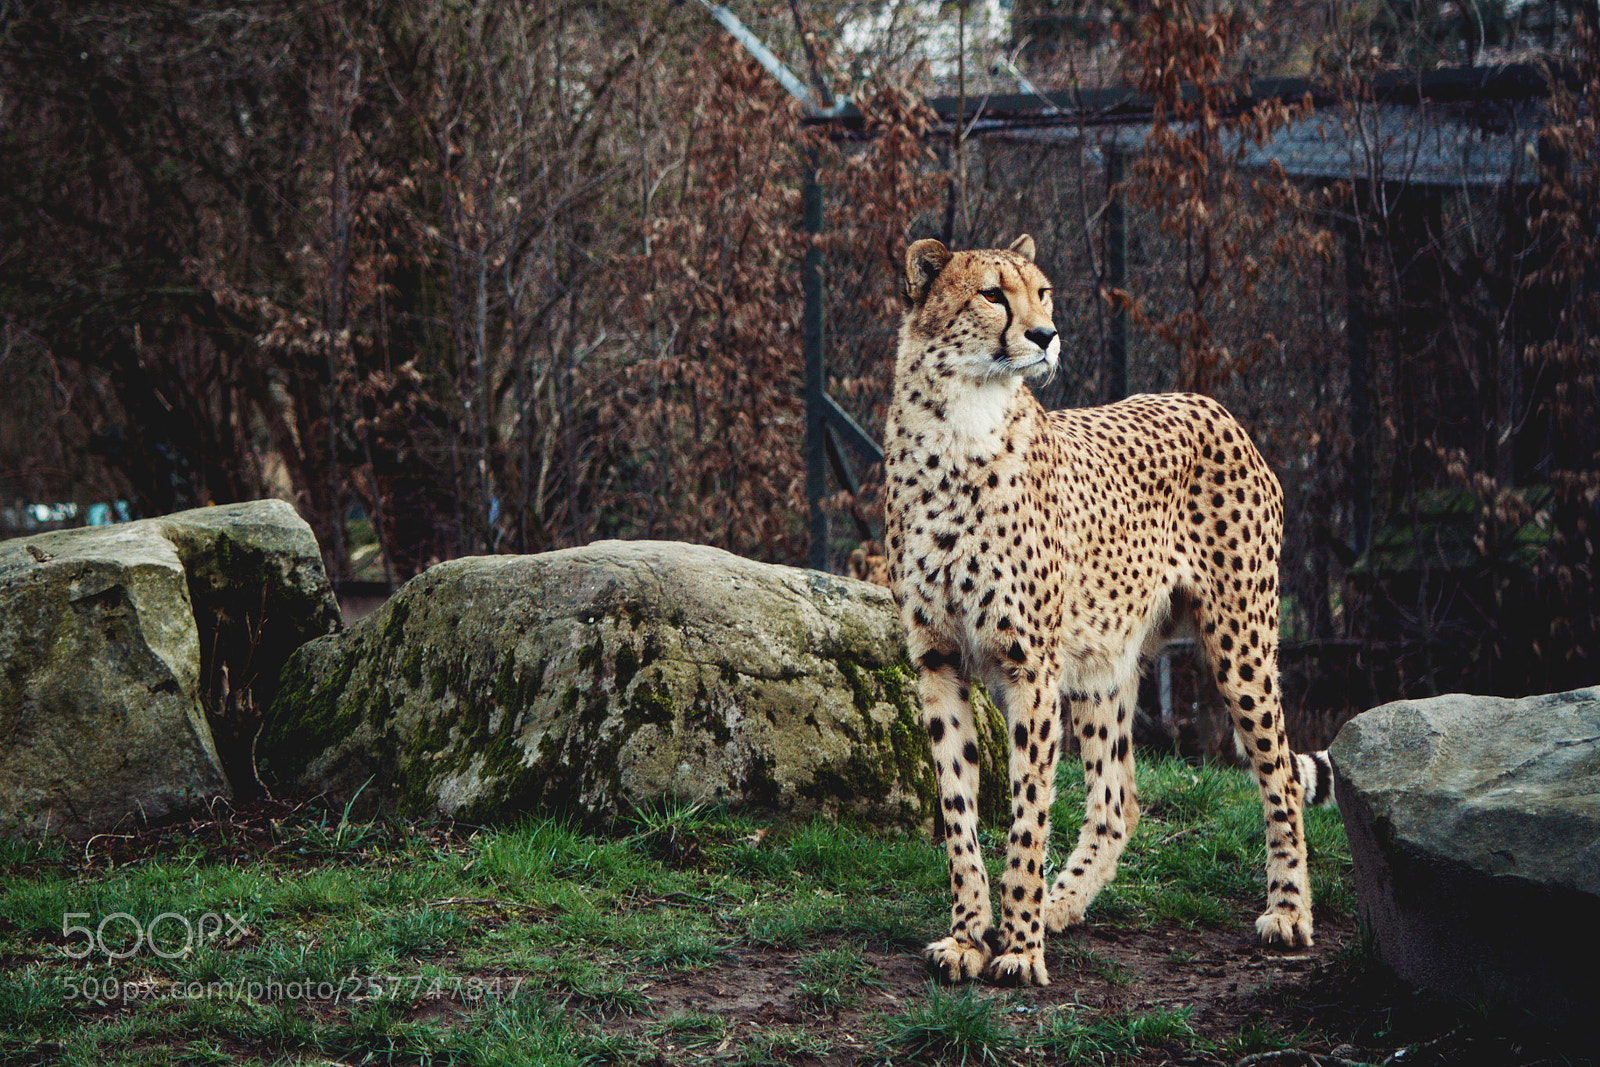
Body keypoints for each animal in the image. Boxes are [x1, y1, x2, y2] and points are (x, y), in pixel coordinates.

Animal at [883, 234, 1334, 987]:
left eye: (1043, 293)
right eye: (992, 294)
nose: (1046, 334)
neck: (961, 424)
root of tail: (1209, 403)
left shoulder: (1030, 668)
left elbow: (1027, 814)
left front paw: (1019, 948)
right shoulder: (937, 661)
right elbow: (958, 811)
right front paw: (970, 936)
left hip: (1240, 642)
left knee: (1276, 773)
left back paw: (1288, 911)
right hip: (1103, 661)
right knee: (1118, 796)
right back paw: (1061, 902)